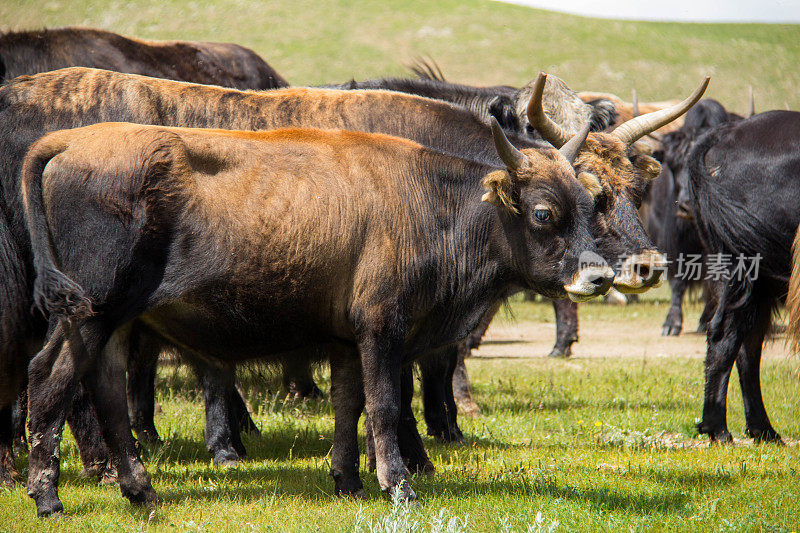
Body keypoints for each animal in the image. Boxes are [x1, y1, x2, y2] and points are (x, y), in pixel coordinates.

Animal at [0, 65, 664, 482]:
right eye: (592, 194)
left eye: (636, 184)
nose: (643, 267)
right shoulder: (388, 321)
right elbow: (395, 391)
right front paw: (410, 460)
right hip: (72, 306)